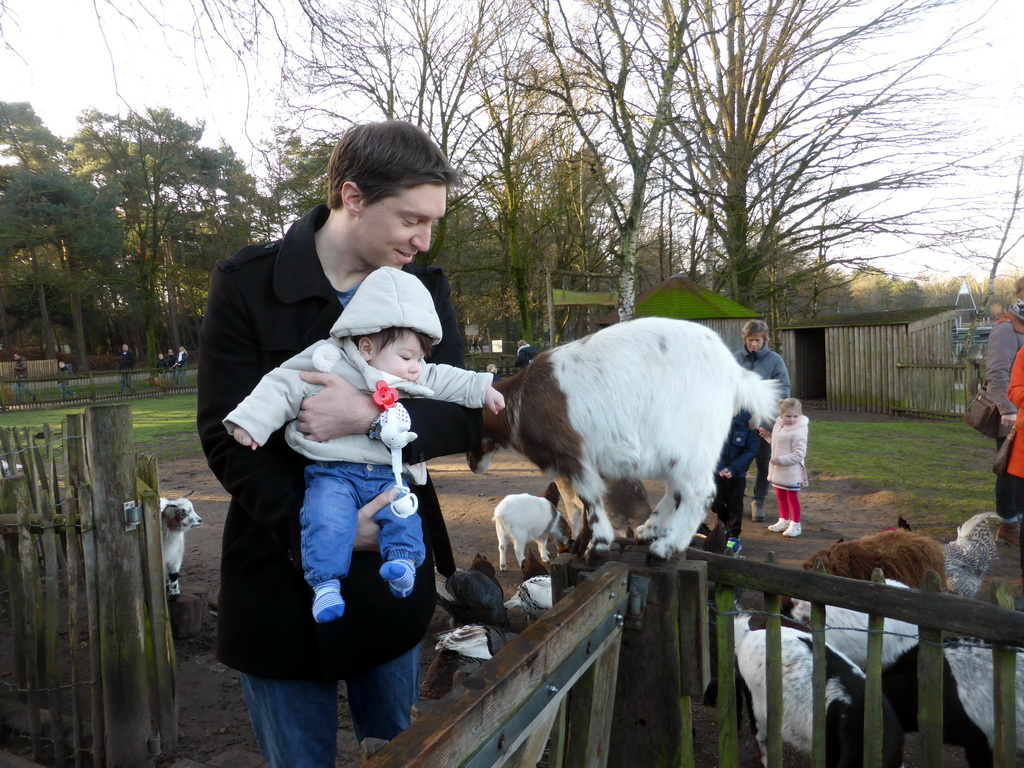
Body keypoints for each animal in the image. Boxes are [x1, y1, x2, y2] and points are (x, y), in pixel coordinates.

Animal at [468, 315, 778, 561]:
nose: (472, 464)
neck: (521, 401)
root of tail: (736, 376)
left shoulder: (573, 455)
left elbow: (590, 500)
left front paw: (596, 546)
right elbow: (584, 504)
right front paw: (582, 545)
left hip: (689, 444)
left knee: (699, 493)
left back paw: (664, 548)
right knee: (677, 490)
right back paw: (647, 531)